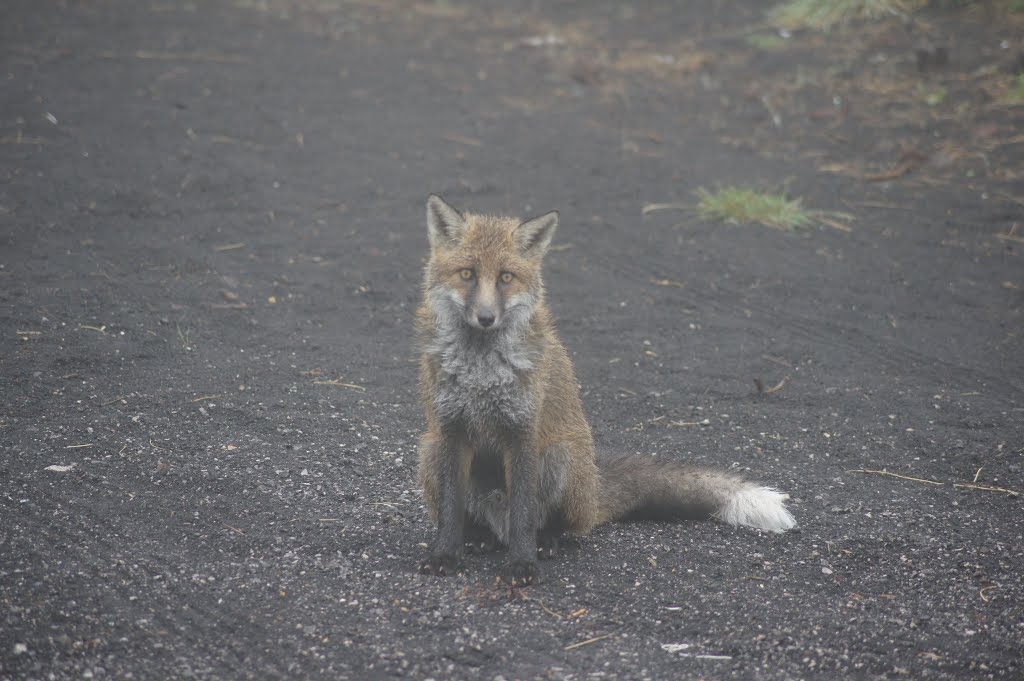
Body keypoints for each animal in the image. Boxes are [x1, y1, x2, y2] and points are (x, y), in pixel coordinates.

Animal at [415, 193, 798, 581]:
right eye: (467, 274)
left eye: (506, 277)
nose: (486, 318)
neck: (481, 371)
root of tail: (596, 485)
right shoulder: (452, 429)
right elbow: (450, 513)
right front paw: (445, 555)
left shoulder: (522, 431)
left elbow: (523, 514)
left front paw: (523, 564)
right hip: (430, 449)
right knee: (475, 519)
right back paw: (479, 536)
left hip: (561, 457)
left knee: (556, 524)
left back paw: (546, 541)